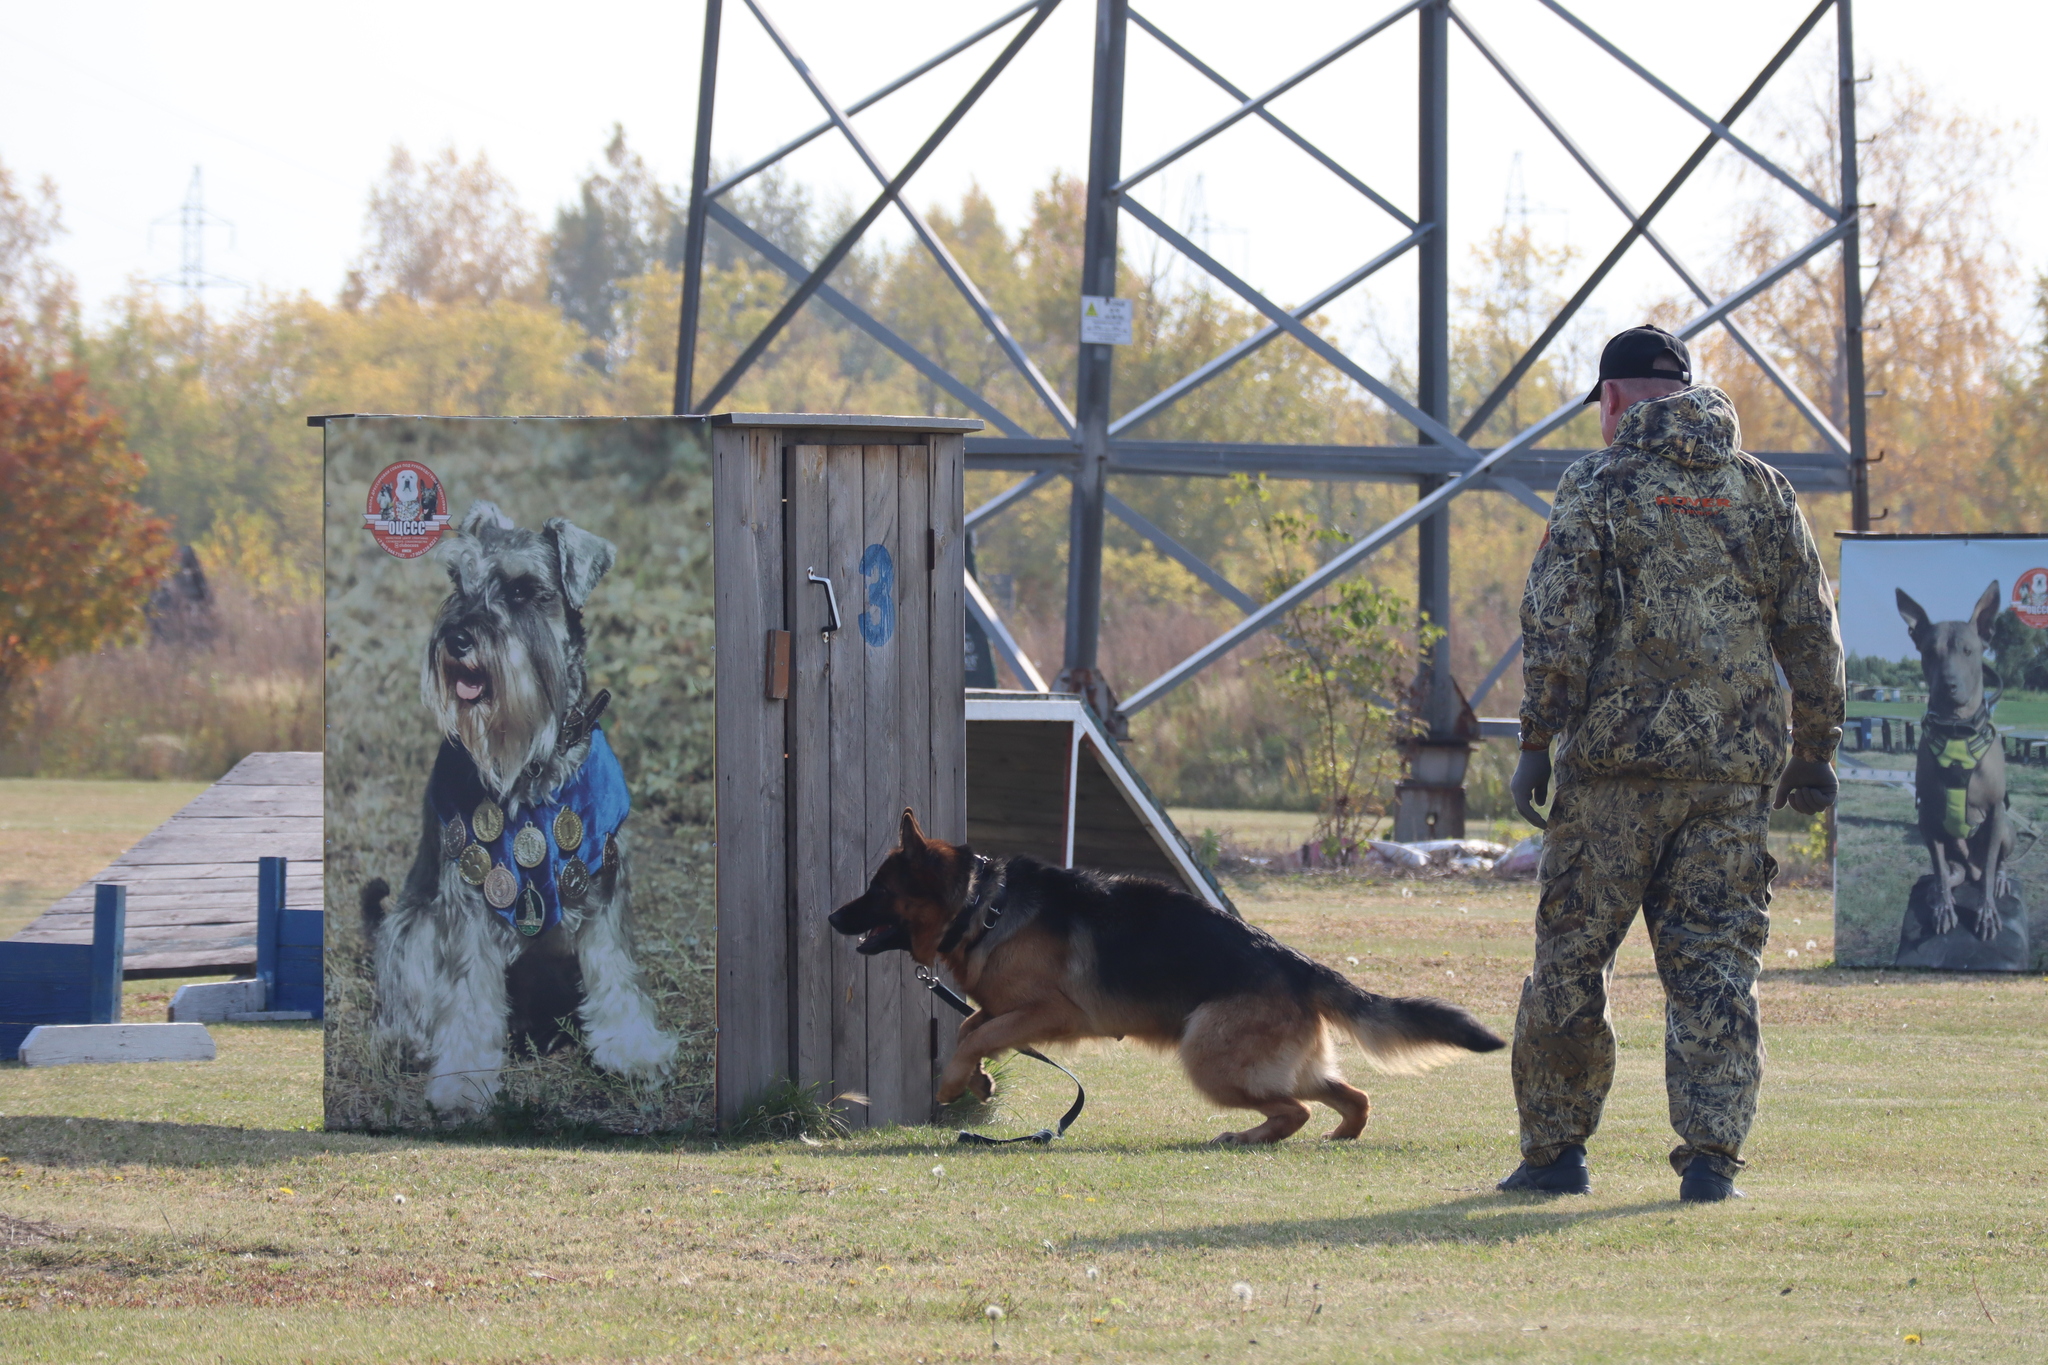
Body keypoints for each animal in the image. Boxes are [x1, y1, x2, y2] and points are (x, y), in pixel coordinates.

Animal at [831, 810, 1507, 1146]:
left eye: (876, 891)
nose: (833, 917)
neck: (984, 904)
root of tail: (1294, 962)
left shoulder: (1052, 1013)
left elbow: (975, 1032)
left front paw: (954, 1085)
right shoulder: (1006, 1010)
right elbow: (970, 1027)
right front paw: (978, 1083)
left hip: (1208, 1058)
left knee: (1295, 1109)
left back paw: (1248, 1137)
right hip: (1284, 1065)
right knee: (1351, 1097)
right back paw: (1334, 1136)